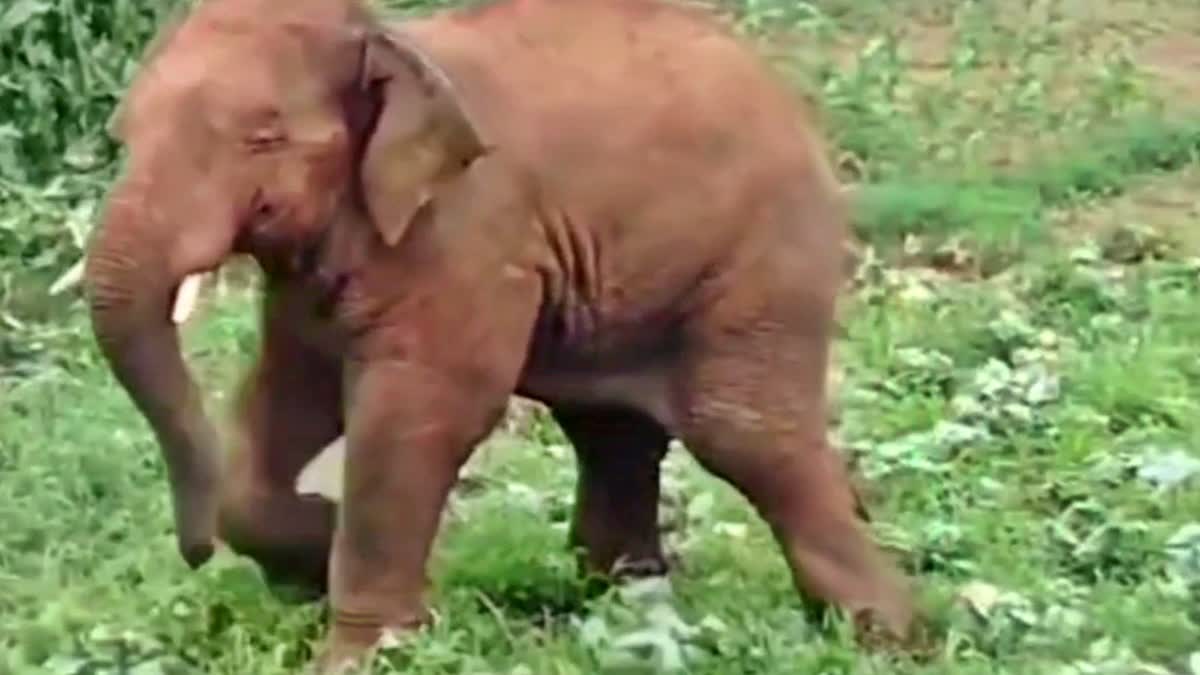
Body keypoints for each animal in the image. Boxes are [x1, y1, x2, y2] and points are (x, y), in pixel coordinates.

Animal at [81, 0, 915, 669]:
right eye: (123, 132)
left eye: (263, 137)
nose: (193, 552)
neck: (387, 39)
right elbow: (283, 398)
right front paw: (316, 546)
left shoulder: (468, 240)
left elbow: (419, 415)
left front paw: (363, 650)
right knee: (614, 430)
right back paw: (624, 604)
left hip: (761, 257)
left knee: (743, 432)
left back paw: (886, 634)